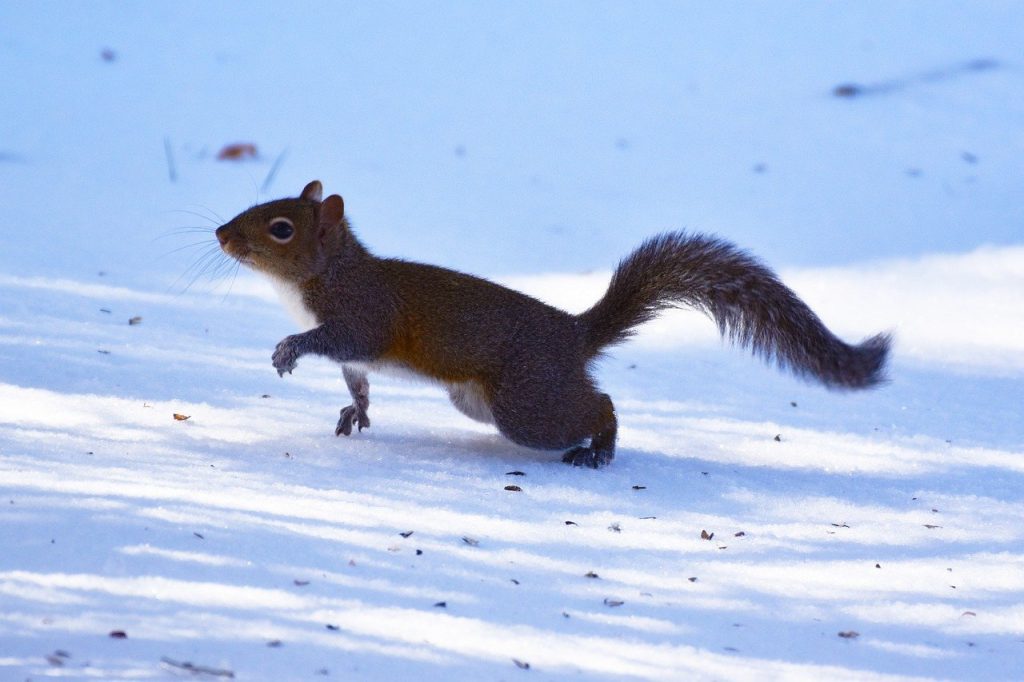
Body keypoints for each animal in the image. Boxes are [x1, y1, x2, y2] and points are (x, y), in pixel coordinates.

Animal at [215, 180, 891, 468]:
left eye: (281, 228)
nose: (221, 233)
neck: (324, 276)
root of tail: (575, 335)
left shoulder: (363, 316)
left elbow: (339, 341)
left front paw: (289, 349)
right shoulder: (357, 355)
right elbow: (356, 379)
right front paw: (355, 411)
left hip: (528, 403)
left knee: (601, 406)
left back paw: (601, 449)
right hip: (480, 400)